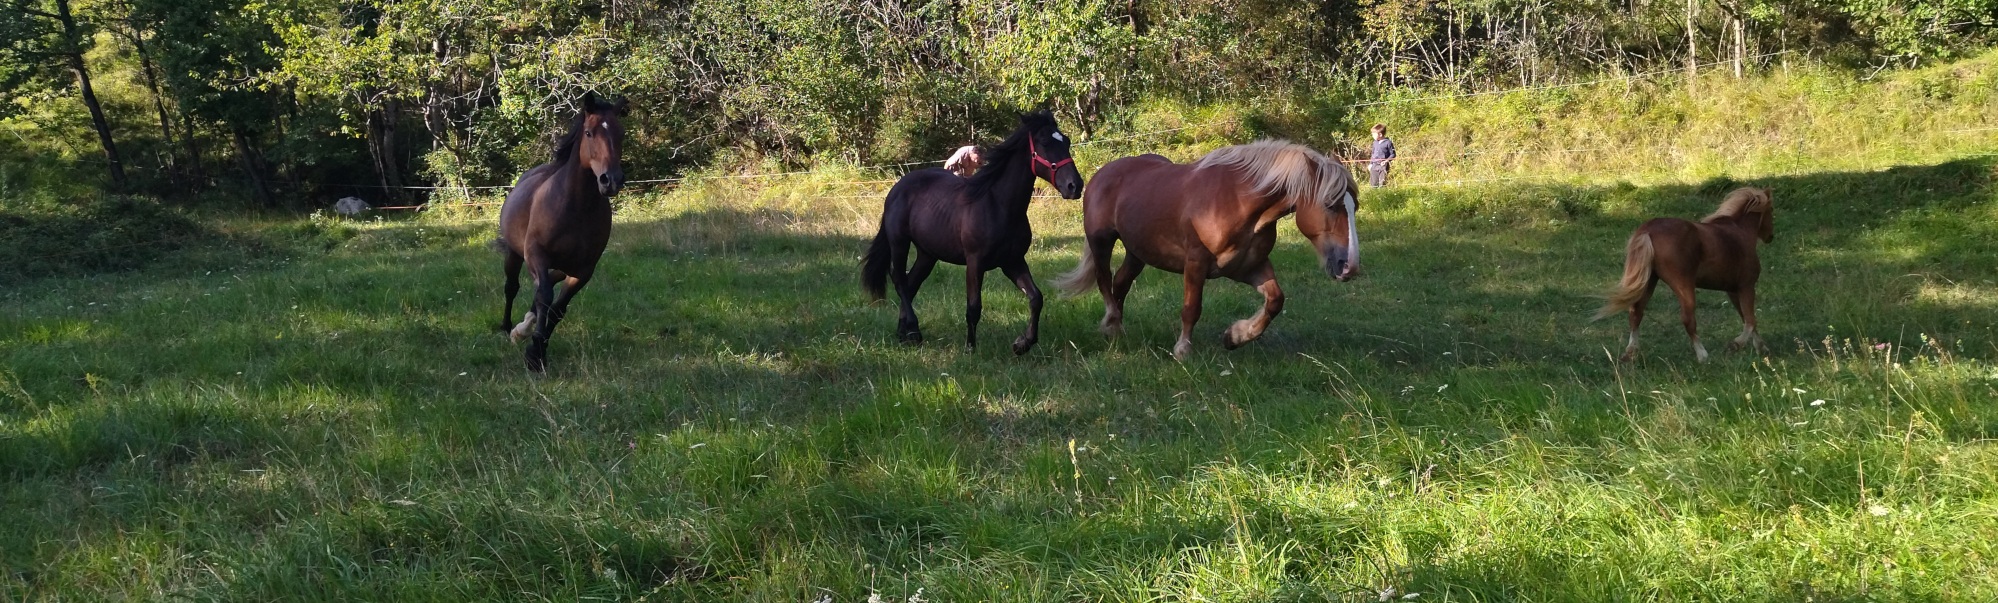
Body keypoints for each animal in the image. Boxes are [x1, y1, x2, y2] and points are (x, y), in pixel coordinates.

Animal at [495, 92, 627, 372]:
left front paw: (538, 349)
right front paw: (534, 352)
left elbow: (557, 308)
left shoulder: (584, 270)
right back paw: (508, 328)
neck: (575, 208)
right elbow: (545, 296)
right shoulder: (536, 255)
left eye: (621, 133)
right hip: (514, 254)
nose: (611, 180)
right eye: (589, 133)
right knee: (512, 287)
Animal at [861, 111, 1085, 354]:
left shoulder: (1013, 262)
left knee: (911, 285)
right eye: (1044, 142)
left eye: (1066, 141)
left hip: (927, 254)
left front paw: (1022, 344)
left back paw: (904, 334)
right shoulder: (975, 262)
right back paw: (914, 331)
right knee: (900, 281)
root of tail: (897, 188)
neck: (999, 206)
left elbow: (1036, 298)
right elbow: (974, 306)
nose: (1075, 186)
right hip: (900, 243)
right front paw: (970, 348)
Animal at [1054, 140, 1361, 360]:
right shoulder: (1196, 263)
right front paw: (1183, 350)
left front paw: (1235, 336)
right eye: (1330, 205)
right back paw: (1111, 322)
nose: (1349, 266)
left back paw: (1116, 331)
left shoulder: (1250, 267)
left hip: (1137, 252)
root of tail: (1101, 174)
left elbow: (1275, 300)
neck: (1237, 201)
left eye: (1354, 206)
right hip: (1101, 242)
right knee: (1104, 281)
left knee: (1120, 283)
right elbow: (1192, 308)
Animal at [1593, 186, 1774, 362]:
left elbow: (1746, 318)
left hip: (1650, 282)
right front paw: (1737, 345)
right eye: (1771, 210)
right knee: (1688, 319)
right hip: (1683, 285)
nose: (1770, 237)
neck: (1739, 232)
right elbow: (1751, 320)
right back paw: (1703, 356)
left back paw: (1630, 352)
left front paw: (1762, 348)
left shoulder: (1733, 290)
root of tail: (1649, 230)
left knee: (1636, 313)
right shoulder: (1747, 286)